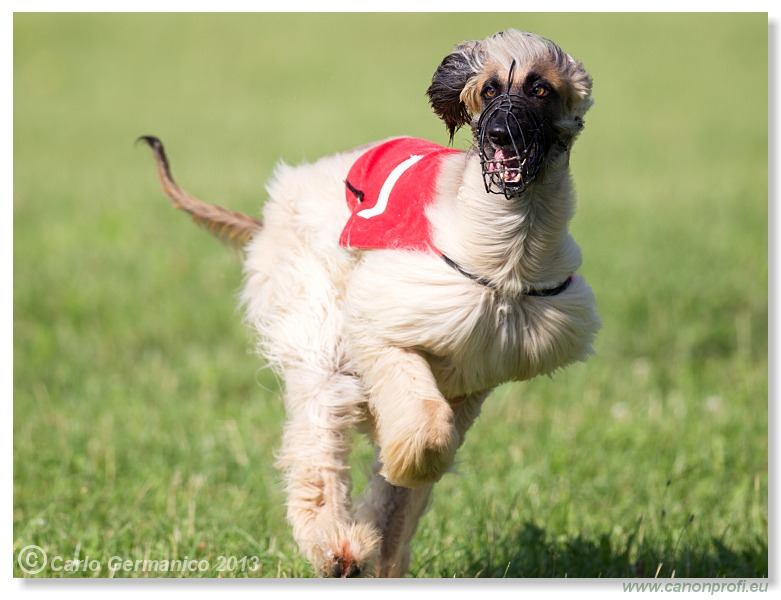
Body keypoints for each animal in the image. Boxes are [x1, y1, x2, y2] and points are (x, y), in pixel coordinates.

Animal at [143, 27, 600, 576]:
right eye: (489, 88)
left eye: (540, 89)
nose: (500, 135)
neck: (509, 247)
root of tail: (273, 210)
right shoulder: (386, 323)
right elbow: (425, 434)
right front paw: (396, 478)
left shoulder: (474, 371)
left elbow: (410, 469)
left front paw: (388, 515)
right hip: (318, 318)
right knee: (318, 441)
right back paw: (337, 545)